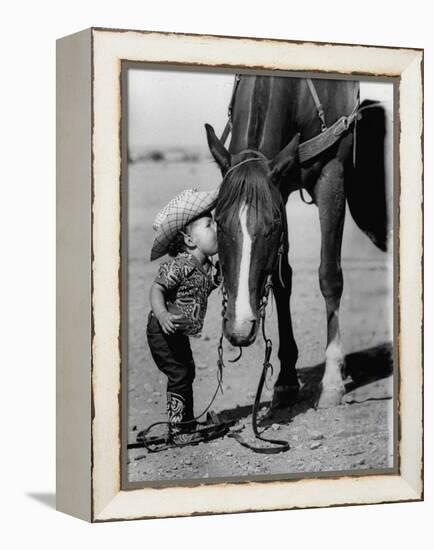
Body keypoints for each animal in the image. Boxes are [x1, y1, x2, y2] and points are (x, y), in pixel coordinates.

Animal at [205, 74, 388, 410]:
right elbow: (281, 280)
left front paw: (332, 381)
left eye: (272, 225)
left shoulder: (331, 176)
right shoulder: (282, 186)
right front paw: (286, 379)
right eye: (218, 222)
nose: (240, 327)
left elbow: (329, 277)